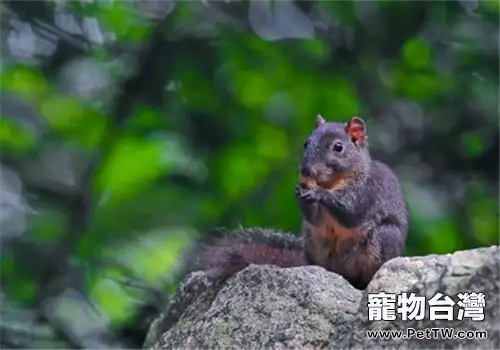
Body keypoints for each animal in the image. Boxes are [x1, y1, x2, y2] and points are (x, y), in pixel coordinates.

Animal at [182, 115, 408, 290]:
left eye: (338, 147)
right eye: (306, 143)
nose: (306, 171)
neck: (333, 181)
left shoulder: (367, 192)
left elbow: (350, 210)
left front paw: (318, 193)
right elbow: (315, 218)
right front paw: (301, 191)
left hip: (384, 239)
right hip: (312, 241)